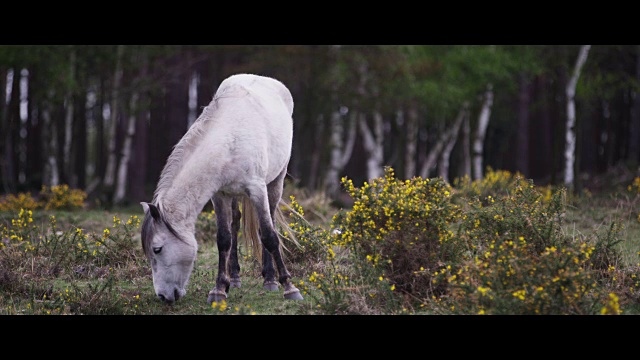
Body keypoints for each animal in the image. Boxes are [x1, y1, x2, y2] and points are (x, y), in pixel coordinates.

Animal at [142, 73, 304, 304]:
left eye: (157, 249)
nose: (163, 296)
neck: (229, 141)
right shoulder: (219, 195)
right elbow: (224, 239)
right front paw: (219, 289)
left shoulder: (257, 190)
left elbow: (269, 235)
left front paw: (289, 287)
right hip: (233, 195)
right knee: (235, 225)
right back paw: (234, 279)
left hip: (275, 182)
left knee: (270, 222)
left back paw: (270, 280)